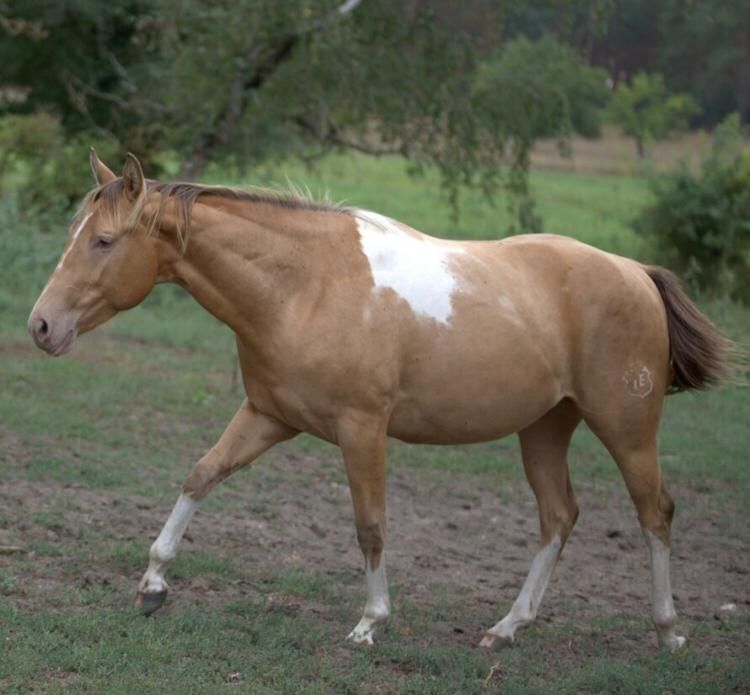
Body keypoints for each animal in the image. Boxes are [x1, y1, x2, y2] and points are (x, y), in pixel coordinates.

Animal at [26, 148, 732, 652]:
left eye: (104, 241)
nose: (41, 326)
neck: (303, 286)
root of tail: (636, 272)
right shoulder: (268, 417)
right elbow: (201, 475)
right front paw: (152, 585)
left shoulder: (361, 429)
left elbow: (370, 525)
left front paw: (370, 623)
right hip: (544, 429)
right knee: (559, 517)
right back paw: (506, 628)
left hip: (626, 429)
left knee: (655, 513)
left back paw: (668, 631)